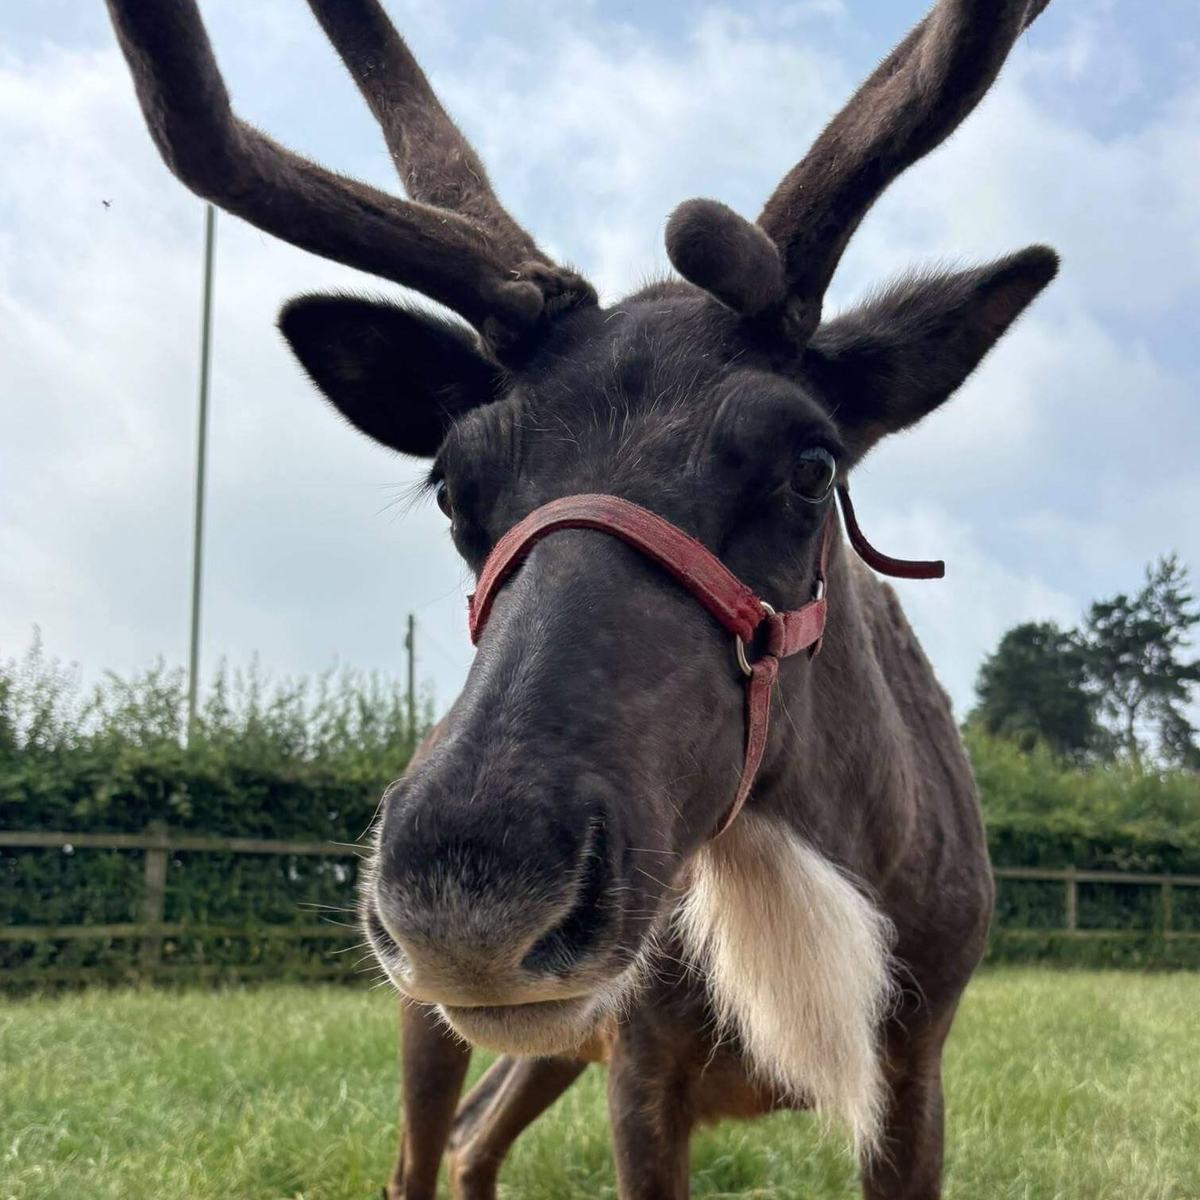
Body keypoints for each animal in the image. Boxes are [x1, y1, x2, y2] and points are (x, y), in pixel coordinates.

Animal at [108, 1, 1057, 1196]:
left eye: (812, 463)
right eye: (453, 486)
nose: (469, 890)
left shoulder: (916, 1059)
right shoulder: (641, 1060)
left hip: (550, 1030)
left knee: (476, 1138)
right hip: (440, 1012)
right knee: (423, 1153)